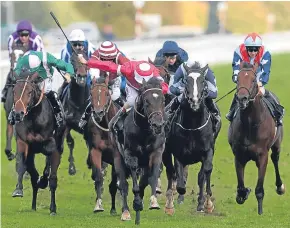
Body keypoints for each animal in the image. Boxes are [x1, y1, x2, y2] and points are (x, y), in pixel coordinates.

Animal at [12, 72, 65, 215]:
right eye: (14, 91)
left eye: (30, 92)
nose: (18, 113)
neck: (34, 119)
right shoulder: (23, 142)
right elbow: (22, 165)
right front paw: (18, 190)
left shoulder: (52, 144)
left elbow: (49, 169)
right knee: (33, 175)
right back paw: (34, 205)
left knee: (52, 176)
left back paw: (52, 207)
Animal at [83, 75, 130, 220]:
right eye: (91, 94)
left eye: (107, 94)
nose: (98, 113)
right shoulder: (95, 151)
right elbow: (99, 177)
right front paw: (98, 205)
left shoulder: (117, 155)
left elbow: (122, 182)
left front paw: (126, 211)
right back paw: (113, 208)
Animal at [111, 77, 165, 224]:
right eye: (146, 101)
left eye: (163, 100)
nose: (158, 125)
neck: (144, 131)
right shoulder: (130, 155)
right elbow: (133, 184)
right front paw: (135, 203)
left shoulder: (156, 153)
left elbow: (151, 178)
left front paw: (153, 202)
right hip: (117, 157)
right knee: (123, 185)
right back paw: (126, 212)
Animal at [163, 62, 220, 214]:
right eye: (185, 81)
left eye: (203, 81)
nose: (194, 100)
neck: (193, 127)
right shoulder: (179, 154)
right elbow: (179, 178)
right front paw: (176, 198)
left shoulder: (208, 151)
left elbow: (205, 174)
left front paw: (205, 204)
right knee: (170, 172)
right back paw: (170, 203)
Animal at [228, 61, 284, 215]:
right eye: (238, 79)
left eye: (253, 80)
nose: (242, 98)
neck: (250, 124)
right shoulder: (239, 155)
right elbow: (241, 187)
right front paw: (243, 193)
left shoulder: (262, 156)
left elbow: (259, 188)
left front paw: (260, 212)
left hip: (277, 144)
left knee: (275, 159)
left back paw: (280, 187)